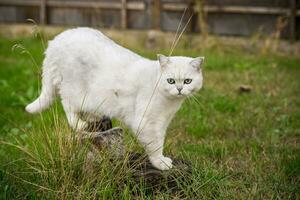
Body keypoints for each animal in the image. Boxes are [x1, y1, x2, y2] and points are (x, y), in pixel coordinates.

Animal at [25, 27, 205, 170]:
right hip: (74, 90)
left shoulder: (162, 122)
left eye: (187, 81)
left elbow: (160, 139)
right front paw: (160, 163)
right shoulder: (147, 123)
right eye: (171, 81)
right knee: (67, 106)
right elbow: (155, 145)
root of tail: (57, 40)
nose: (179, 89)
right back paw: (80, 124)